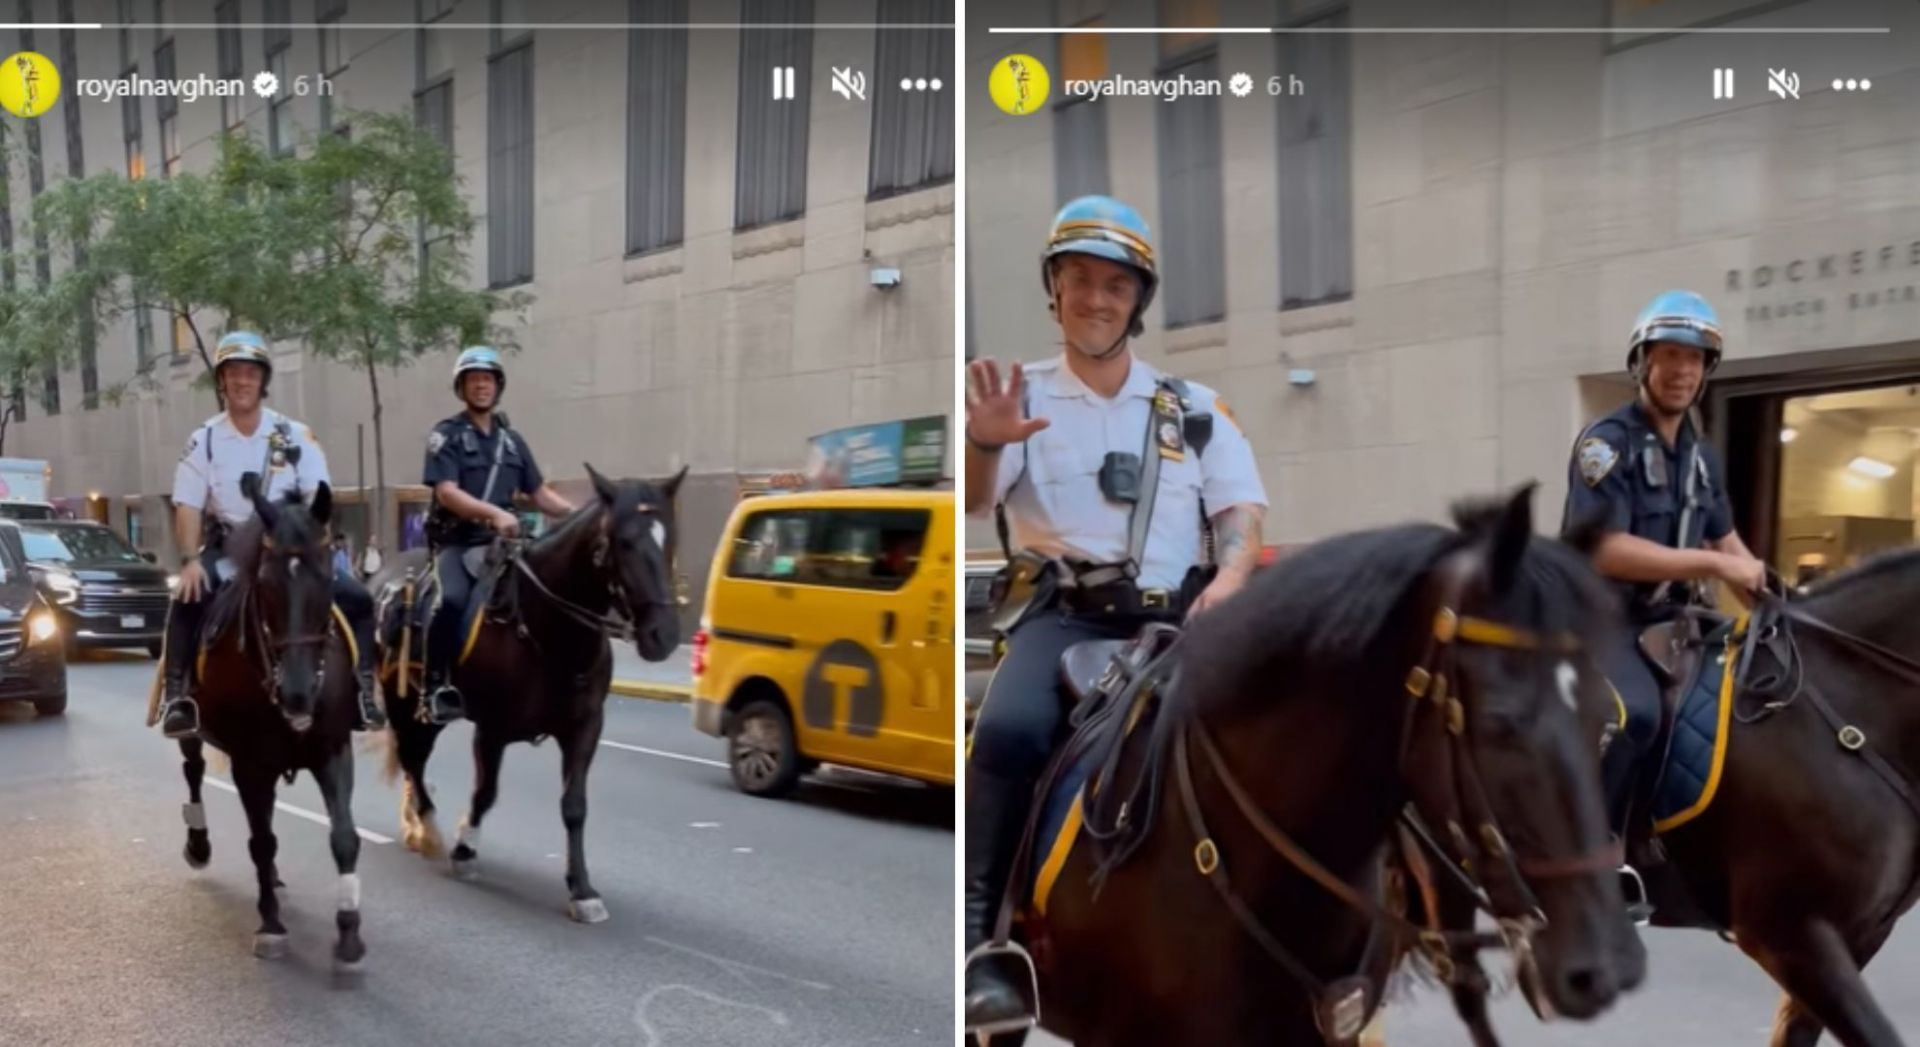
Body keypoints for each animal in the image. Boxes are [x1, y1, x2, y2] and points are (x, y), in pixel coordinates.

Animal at [172, 478, 370, 968]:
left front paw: (349, 928)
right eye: (265, 583)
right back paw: (199, 845)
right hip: (194, 735)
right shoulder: (250, 764)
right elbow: (261, 841)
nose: (298, 692)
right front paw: (271, 924)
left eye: (327, 575)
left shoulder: (333, 749)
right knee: (194, 772)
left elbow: (344, 837)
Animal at [372, 461, 683, 918]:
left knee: (416, 759)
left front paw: (582, 889)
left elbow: (574, 806)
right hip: (403, 701)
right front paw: (465, 849)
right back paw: (428, 829)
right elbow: (485, 792)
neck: (550, 629)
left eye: (669, 539)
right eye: (624, 542)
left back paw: (415, 823)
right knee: (413, 758)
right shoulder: (493, 728)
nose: (664, 636)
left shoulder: (585, 728)